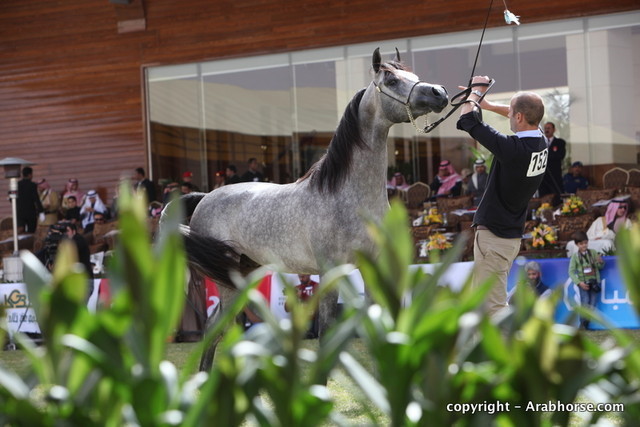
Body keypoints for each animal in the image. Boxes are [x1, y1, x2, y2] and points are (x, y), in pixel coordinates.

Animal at [168, 48, 448, 369]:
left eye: (413, 76)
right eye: (391, 80)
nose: (439, 92)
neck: (347, 196)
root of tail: (204, 197)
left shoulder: (373, 269)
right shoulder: (330, 272)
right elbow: (326, 334)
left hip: (245, 274)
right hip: (225, 281)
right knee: (216, 328)